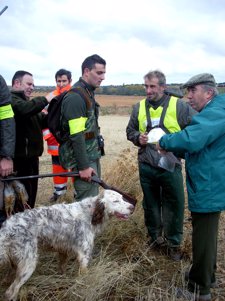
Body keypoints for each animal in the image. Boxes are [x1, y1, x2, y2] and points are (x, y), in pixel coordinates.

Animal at [0, 190, 134, 300]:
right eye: (116, 201)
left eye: (122, 198)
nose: (132, 207)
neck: (90, 213)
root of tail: (6, 228)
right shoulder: (84, 256)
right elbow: (84, 275)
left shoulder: (63, 250)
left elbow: (62, 268)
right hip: (28, 264)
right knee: (10, 291)